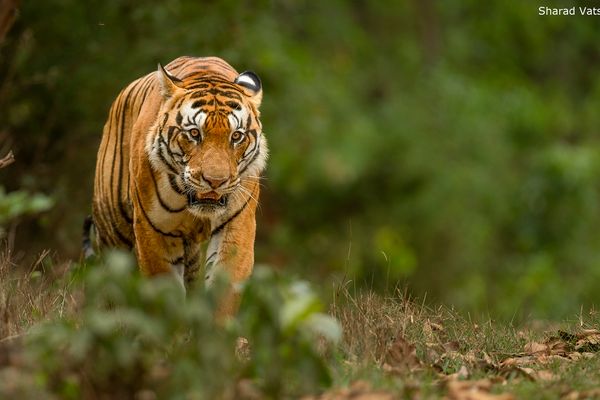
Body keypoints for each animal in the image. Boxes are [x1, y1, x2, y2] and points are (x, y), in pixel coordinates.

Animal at [83, 55, 266, 316]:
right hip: (112, 229)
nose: (216, 181)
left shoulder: (236, 225)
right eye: (194, 133)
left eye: (236, 136)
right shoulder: (154, 228)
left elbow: (223, 289)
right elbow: (164, 293)